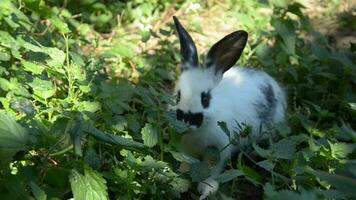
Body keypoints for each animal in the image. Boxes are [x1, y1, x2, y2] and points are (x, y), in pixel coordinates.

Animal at [171, 16, 288, 200]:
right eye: (178, 96)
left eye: (205, 99)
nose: (187, 120)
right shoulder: (186, 151)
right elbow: (185, 165)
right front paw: (180, 179)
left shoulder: (219, 150)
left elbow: (213, 171)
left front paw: (206, 191)